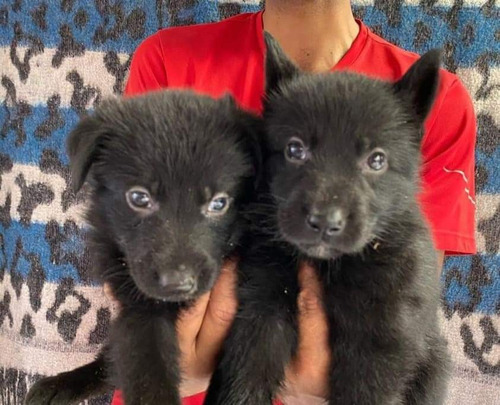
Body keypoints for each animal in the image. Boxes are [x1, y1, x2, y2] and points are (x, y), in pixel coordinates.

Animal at [203, 34, 450, 404]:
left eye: (377, 160)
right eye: (295, 149)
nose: (324, 222)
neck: (327, 264)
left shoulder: (382, 340)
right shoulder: (262, 310)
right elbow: (248, 374)